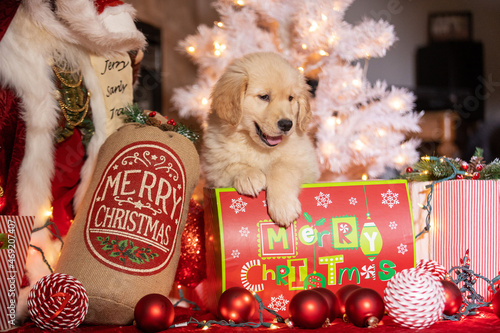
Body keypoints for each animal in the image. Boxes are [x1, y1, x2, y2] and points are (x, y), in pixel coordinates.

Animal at [203, 52, 320, 227]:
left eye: (290, 98)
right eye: (264, 97)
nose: (287, 124)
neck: (258, 148)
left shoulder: (305, 165)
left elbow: (281, 168)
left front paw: (283, 206)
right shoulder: (213, 170)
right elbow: (231, 165)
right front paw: (250, 176)